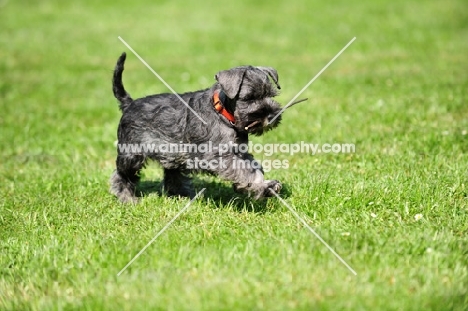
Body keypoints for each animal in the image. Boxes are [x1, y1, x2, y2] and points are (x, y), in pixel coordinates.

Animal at [111, 53, 284, 205]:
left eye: (271, 95)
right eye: (249, 98)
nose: (271, 116)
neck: (222, 113)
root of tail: (129, 104)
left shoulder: (240, 152)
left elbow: (254, 167)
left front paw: (261, 186)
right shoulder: (218, 156)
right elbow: (245, 171)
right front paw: (261, 187)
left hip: (172, 154)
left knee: (172, 176)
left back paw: (183, 196)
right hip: (132, 154)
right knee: (121, 176)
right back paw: (128, 199)